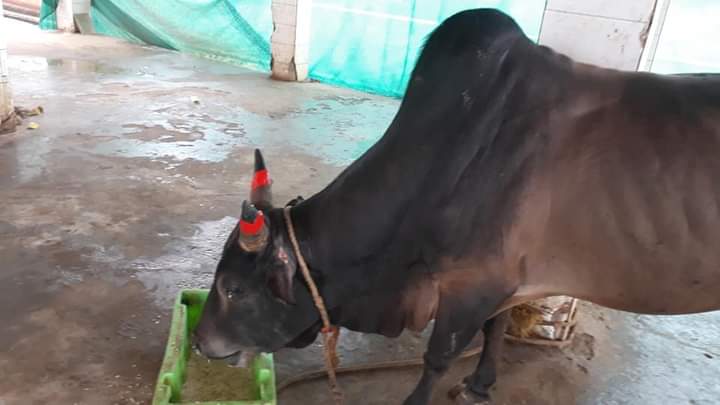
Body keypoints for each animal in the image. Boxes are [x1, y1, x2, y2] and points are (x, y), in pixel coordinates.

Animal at [193, 8, 720, 405]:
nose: (199, 341)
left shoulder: (472, 285)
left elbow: (438, 357)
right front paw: (480, 384)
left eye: (234, 289)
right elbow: (495, 329)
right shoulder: (503, 284)